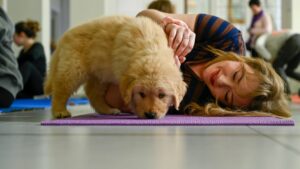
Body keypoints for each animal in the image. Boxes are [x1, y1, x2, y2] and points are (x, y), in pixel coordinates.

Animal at [43, 15, 186, 119]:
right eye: (141, 94)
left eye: (162, 95)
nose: (150, 115)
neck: (151, 50)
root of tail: (64, 37)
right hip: (73, 69)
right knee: (60, 90)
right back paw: (60, 111)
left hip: (101, 73)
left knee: (93, 93)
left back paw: (107, 110)